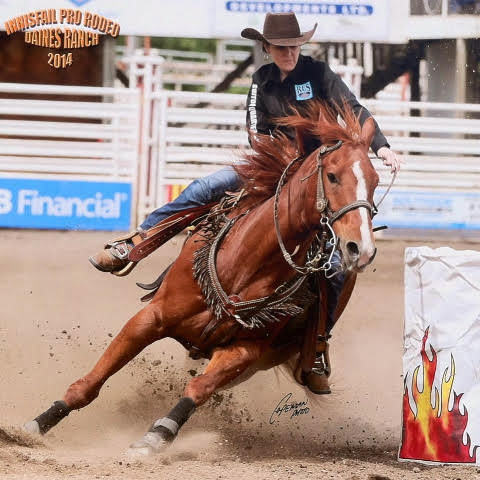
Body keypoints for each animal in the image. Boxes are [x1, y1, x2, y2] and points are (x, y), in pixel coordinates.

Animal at [25, 100, 378, 454]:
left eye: (375, 181)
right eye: (332, 176)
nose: (360, 248)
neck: (244, 264)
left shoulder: (247, 351)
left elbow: (199, 387)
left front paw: (157, 436)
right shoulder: (150, 318)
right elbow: (91, 381)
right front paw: (39, 423)